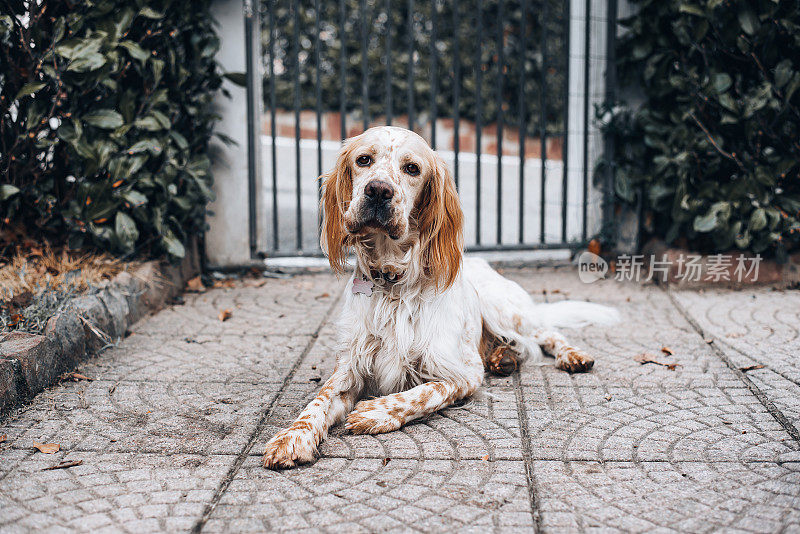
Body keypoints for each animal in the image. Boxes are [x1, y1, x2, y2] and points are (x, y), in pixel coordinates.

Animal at [262, 127, 620, 472]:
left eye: (412, 168)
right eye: (363, 160)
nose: (378, 190)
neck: (394, 283)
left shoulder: (462, 373)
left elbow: (424, 393)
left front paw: (376, 412)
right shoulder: (350, 367)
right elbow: (317, 401)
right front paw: (292, 437)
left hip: (501, 306)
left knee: (546, 333)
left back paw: (571, 355)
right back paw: (503, 357)